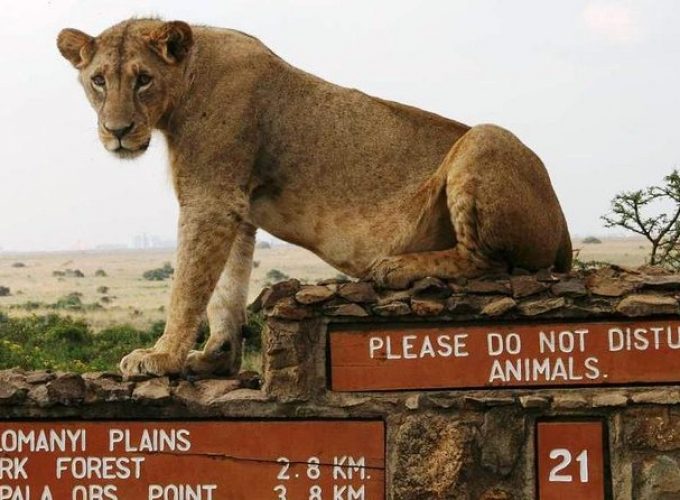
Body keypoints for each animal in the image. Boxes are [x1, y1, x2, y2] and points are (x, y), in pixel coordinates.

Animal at [57, 20, 568, 378]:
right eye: (98, 80)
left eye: (142, 78)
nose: (117, 130)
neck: (185, 85)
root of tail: (564, 227)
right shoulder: (236, 204)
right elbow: (225, 289)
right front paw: (215, 358)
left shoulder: (211, 196)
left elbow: (188, 285)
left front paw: (160, 357)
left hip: (485, 138)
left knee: (492, 263)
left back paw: (396, 267)